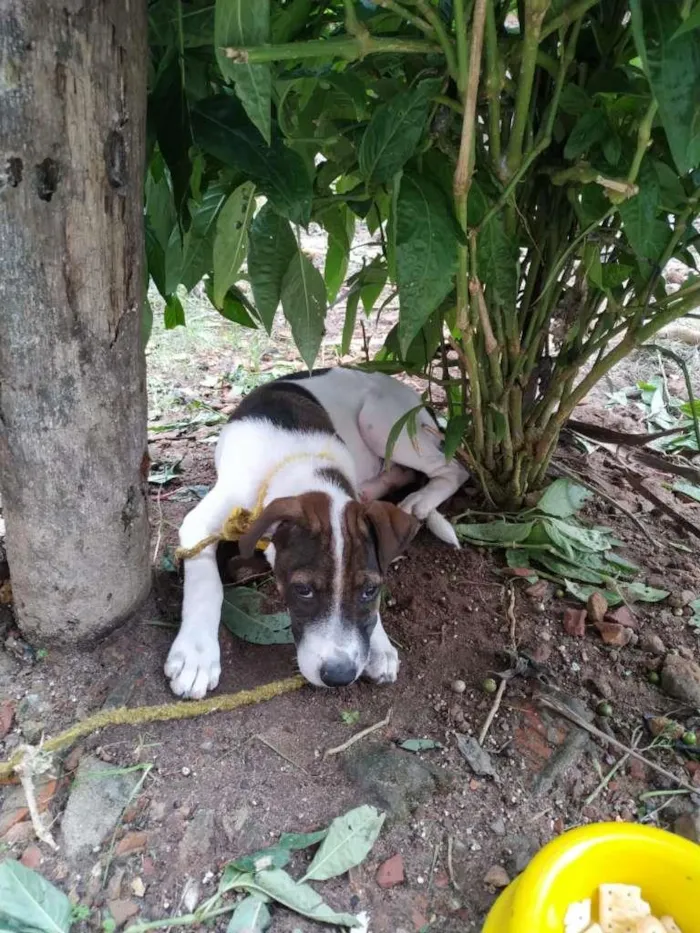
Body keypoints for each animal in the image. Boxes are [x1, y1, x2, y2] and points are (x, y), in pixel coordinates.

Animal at [166, 368, 468, 696]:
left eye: (370, 590)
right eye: (303, 590)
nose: (339, 675)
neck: (301, 463)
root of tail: (416, 398)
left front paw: (380, 644)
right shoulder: (200, 522)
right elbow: (206, 585)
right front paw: (197, 654)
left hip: (387, 425)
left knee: (455, 469)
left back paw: (420, 498)